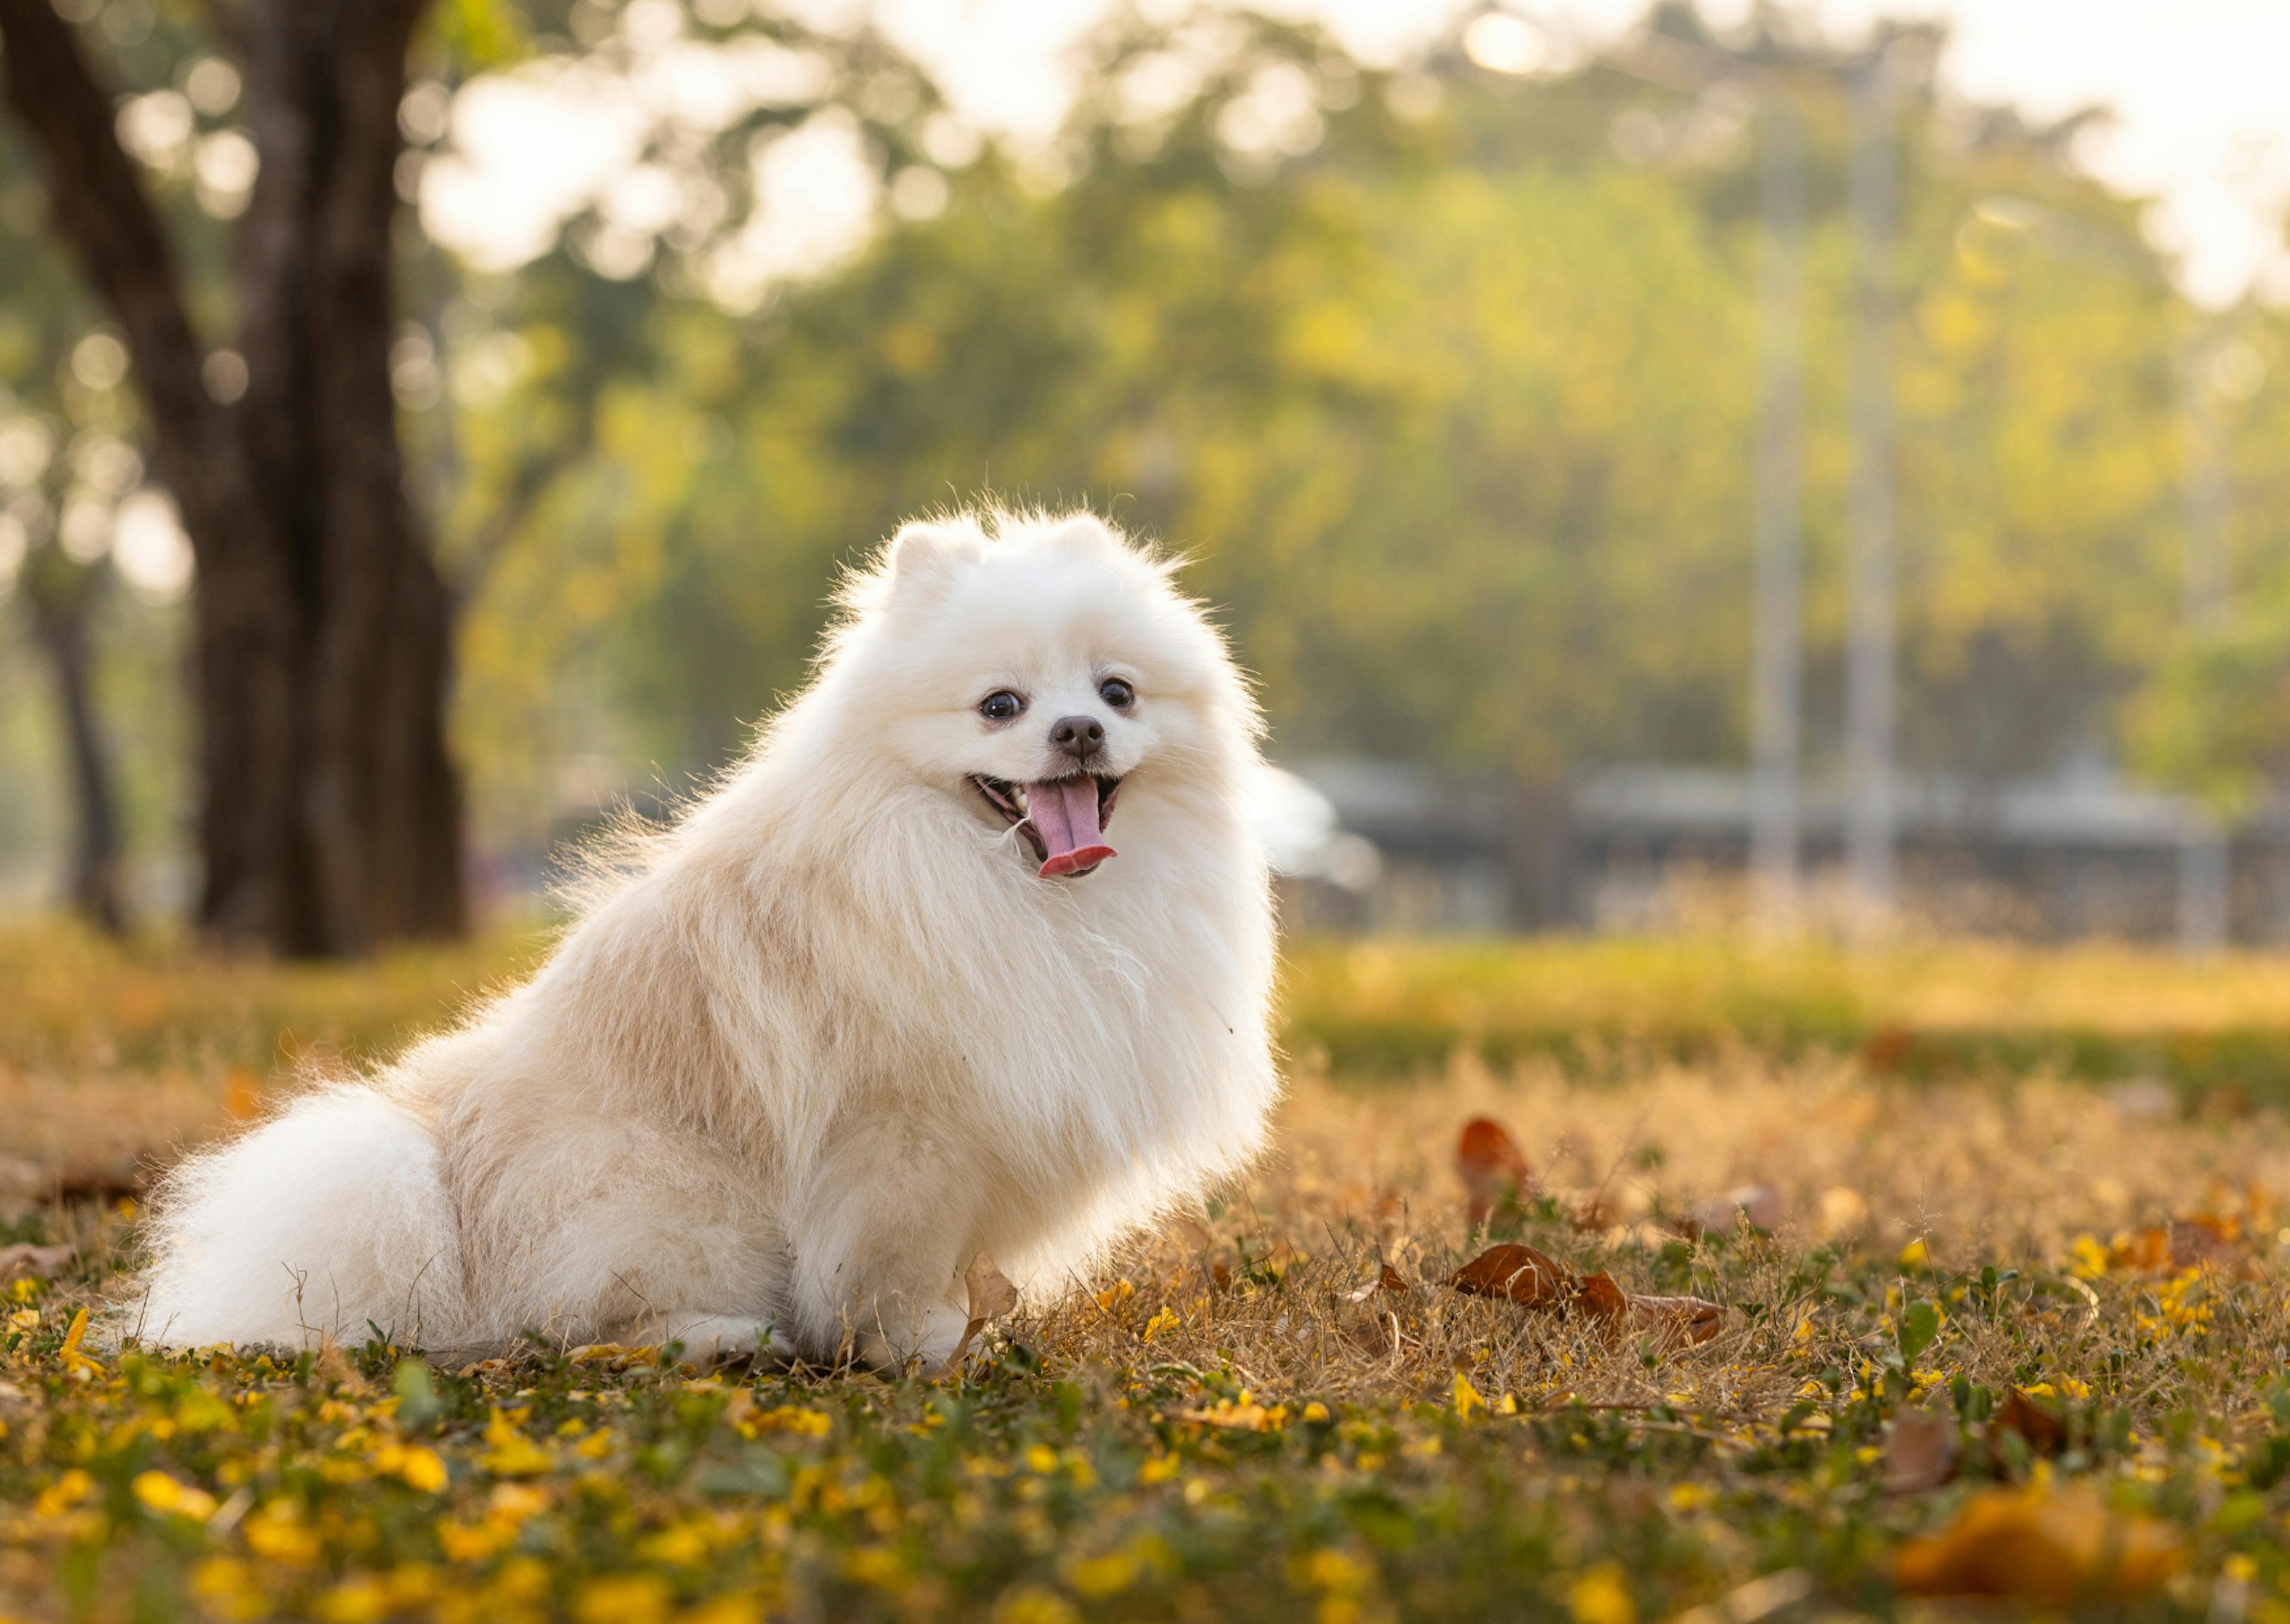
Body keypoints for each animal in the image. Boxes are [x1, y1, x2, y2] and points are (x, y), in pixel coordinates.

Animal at [134, 510, 1282, 1365]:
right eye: (1001, 706)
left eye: (1117, 690)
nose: (1077, 730)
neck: (1024, 894)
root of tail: (439, 1174)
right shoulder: (904, 1129)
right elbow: (894, 1265)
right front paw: (920, 1341)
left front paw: (977, 1320)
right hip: (679, 1202)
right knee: (567, 1324)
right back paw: (723, 1335)